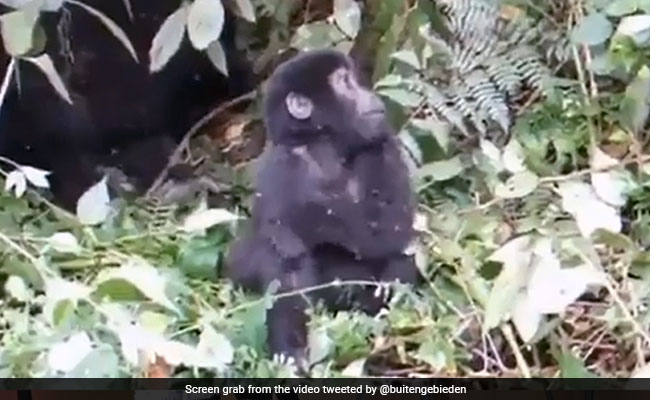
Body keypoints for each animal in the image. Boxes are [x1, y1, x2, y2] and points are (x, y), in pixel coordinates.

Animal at [226, 49, 419, 365]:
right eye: (345, 83)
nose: (368, 94)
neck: (322, 145)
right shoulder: (282, 165)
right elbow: (286, 256)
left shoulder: (381, 142)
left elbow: (391, 226)